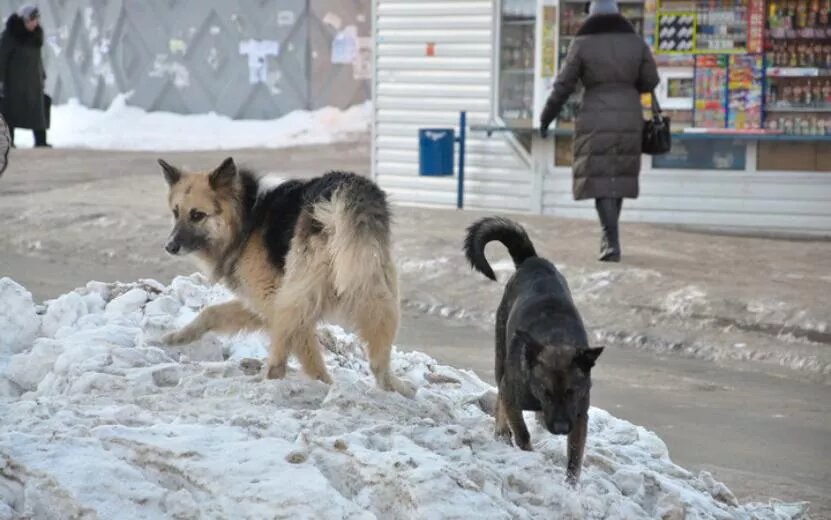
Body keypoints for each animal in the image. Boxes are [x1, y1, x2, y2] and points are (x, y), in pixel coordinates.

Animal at [158, 156, 414, 396]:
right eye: (175, 213)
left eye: (197, 215)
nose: (169, 247)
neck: (247, 215)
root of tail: (344, 188)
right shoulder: (262, 305)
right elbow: (211, 312)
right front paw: (177, 337)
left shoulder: (271, 299)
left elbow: (309, 357)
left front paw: (321, 384)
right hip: (375, 290)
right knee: (379, 363)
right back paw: (397, 389)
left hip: (296, 295)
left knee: (288, 357)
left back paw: (275, 383)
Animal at [462, 216, 604, 484]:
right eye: (546, 392)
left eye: (571, 392)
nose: (560, 429)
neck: (555, 337)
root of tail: (532, 260)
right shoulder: (511, 392)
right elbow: (522, 432)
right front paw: (527, 454)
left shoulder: (579, 414)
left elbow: (574, 456)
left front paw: (571, 486)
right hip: (500, 355)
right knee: (499, 395)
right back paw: (501, 433)